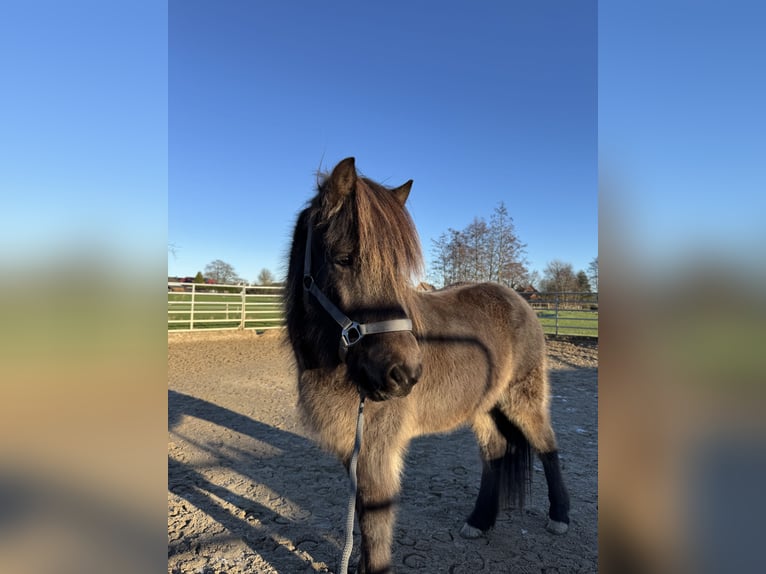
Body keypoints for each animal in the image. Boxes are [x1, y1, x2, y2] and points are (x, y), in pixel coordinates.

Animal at [285, 157, 569, 573]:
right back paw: (479, 522)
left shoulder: (377, 452)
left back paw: (560, 516)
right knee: (495, 452)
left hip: (524, 400)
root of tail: (517, 298)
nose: (404, 374)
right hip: (484, 407)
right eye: (343, 259)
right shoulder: (354, 451)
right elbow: (363, 522)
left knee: (548, 446)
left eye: (398, 271)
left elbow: (375, 528)